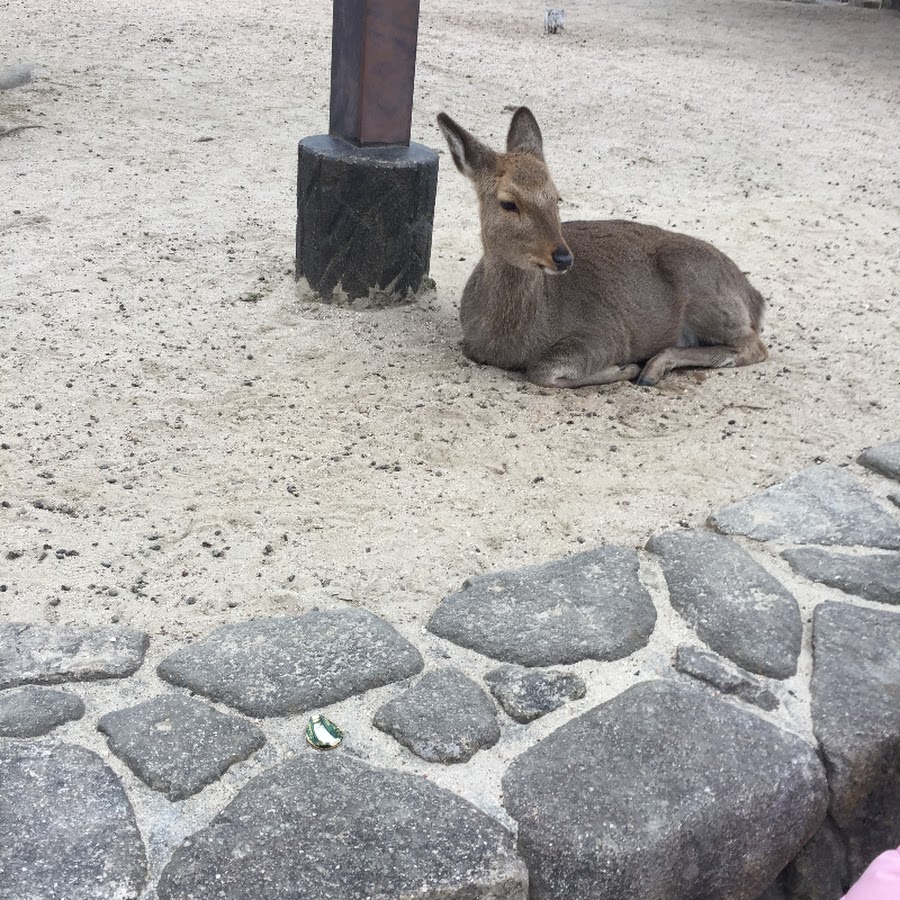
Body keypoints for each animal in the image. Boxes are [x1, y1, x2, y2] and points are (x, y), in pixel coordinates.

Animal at [436, 106, 768, 386]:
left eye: (557, 197)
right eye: (508, 203)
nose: (562, 257)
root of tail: (754, 297)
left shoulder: (606, 335)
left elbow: (542, 369)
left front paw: (626, 367)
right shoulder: (470, 345)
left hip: (702, 286)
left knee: (754, 346)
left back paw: (653, 368)